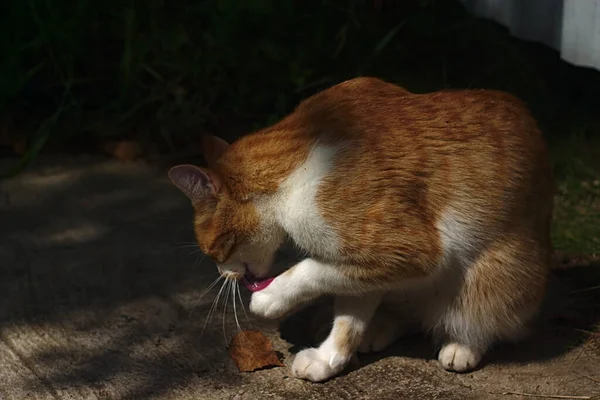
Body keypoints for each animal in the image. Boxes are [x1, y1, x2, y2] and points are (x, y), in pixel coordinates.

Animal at [168, 77, 552, 382]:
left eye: (213, 251)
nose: (223, 274)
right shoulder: (366, 266)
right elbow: (349, 311)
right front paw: (329, 359)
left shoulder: (407, 251)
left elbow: (312, 270)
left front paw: (273, 296)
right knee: (405, 313)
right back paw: (379, 327)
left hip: (499, 274)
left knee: (483, 318)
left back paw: (462, 345)